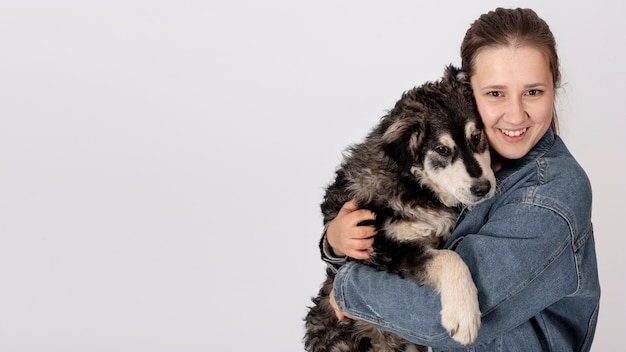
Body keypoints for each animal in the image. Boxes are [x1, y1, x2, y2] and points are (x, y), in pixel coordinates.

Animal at [304, 65, 494, 352]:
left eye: (476, 137)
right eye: (442, 149)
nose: (483, 188)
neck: (415, 184)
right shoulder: (383, 247)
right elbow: (449, 258)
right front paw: (464, 315)